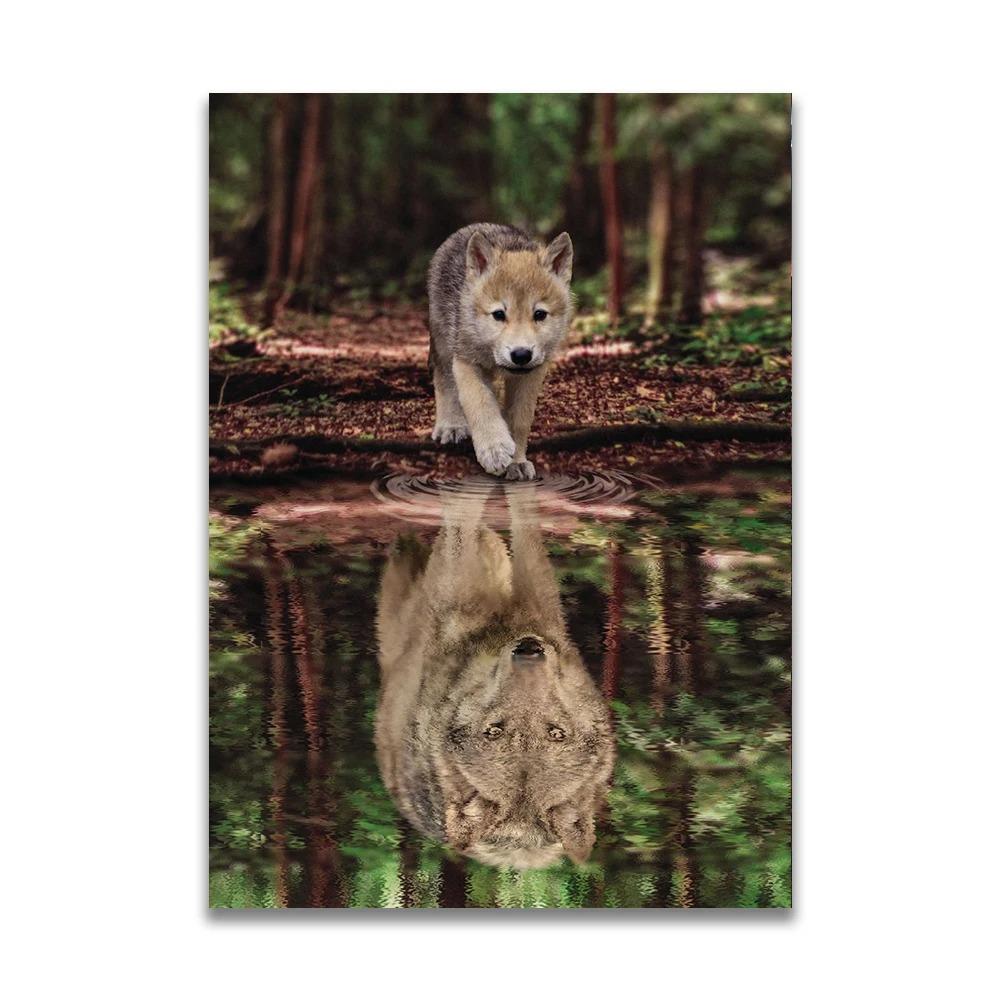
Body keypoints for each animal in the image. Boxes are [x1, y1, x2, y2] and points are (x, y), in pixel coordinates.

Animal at [427, 224, 574, 480]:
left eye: (539, 314)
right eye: (498, 314)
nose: (521, 354)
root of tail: (475, 226)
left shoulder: (532, 374)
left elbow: (519, 420)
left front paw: (516, 462)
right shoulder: (465, 361)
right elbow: (480, 402)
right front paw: (494, 449)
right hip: (444, 345)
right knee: (444, 381)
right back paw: (450, 425)